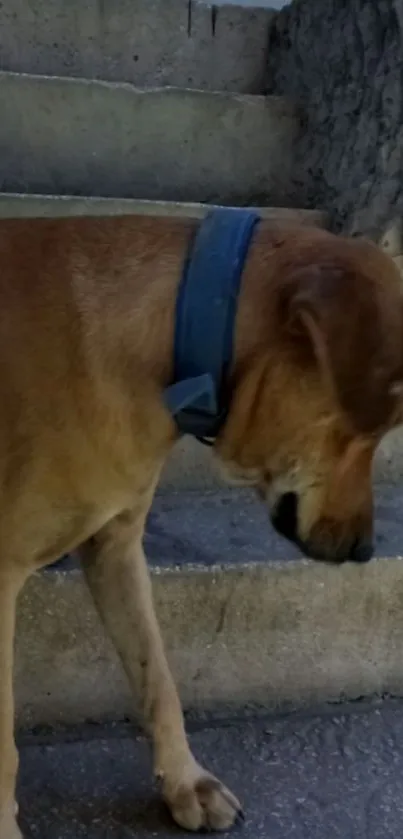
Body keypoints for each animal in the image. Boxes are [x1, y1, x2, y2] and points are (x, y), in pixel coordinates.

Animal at [0, 213, 403, 836]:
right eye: (375, 425)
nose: (364, 551)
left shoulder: (116, 545)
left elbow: (158, 678)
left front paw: (185, 782)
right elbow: (4, 745)